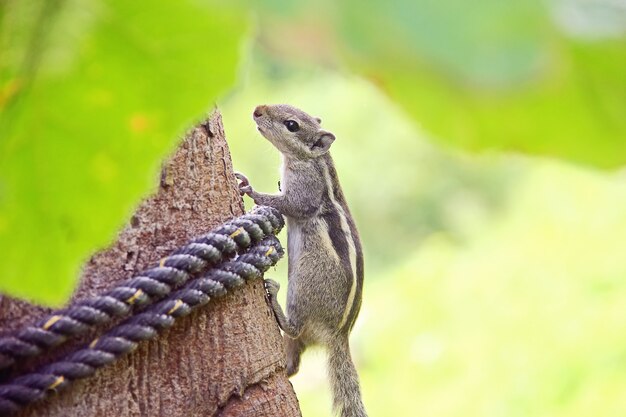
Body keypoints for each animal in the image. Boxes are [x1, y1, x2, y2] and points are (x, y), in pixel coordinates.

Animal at [235, 103, 366, 416]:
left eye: (292, 125)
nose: (258, 109)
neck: (313, 159)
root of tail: (338, 335)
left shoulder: (305, 188)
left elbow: (291, 204)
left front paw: (249, 188)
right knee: (293, 363)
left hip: (304, 287)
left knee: (294, 326)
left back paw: (274, 295)